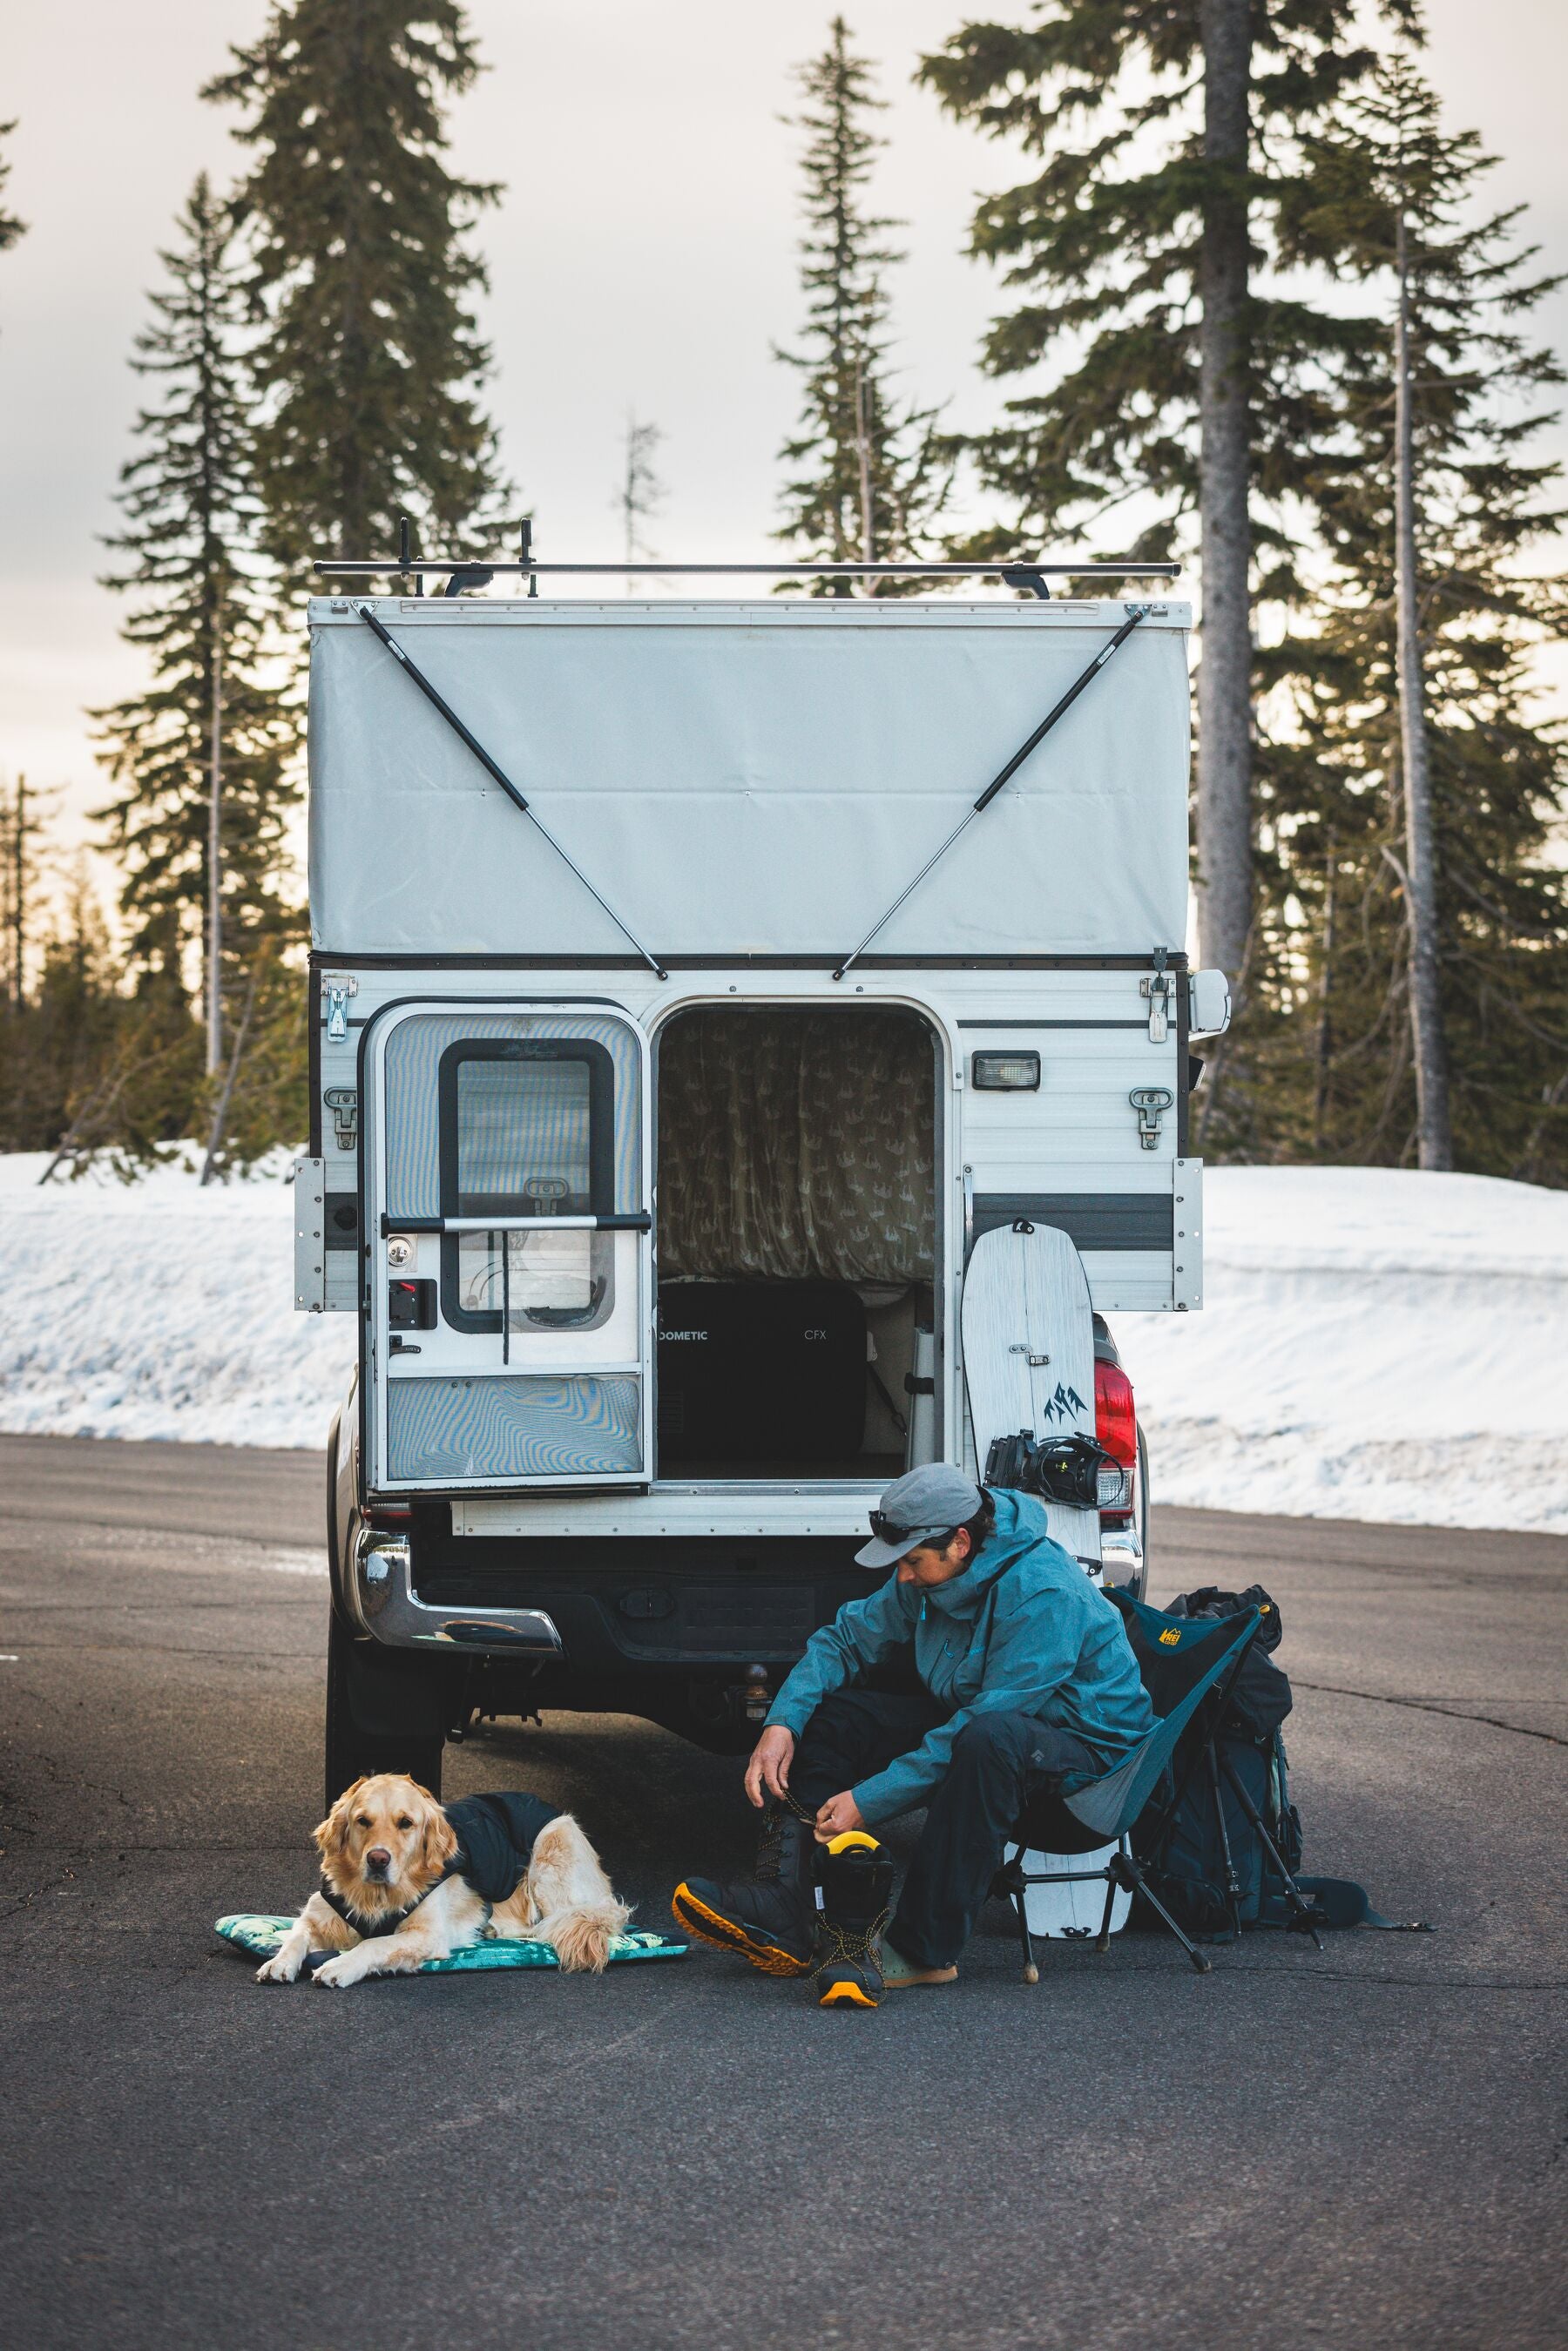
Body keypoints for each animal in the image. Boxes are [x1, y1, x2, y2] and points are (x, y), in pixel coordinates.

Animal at [254, 1777, 630, 1983]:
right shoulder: (319, 1914)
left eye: (406, 1823)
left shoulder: (428, 1934)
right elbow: (296, 1935)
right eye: (363, 1821)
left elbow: (374, 1944)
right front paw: (278, 1962)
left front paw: (341, 1965)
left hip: (550, 1850)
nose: (378, 1859)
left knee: (552, 1923)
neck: (375, 1895)